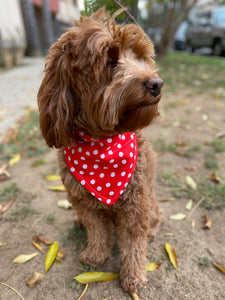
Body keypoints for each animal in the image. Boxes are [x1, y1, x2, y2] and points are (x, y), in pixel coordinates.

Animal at [37, 8, 163, 292]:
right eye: (109, 61)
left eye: (141, 57)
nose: (156, 83)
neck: (102, 144)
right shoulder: (84, 201)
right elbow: (97, 229)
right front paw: (95, 256)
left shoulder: (135, 203)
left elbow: (133, 243)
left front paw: (134, 277)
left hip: (150, 200)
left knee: (155, 217)